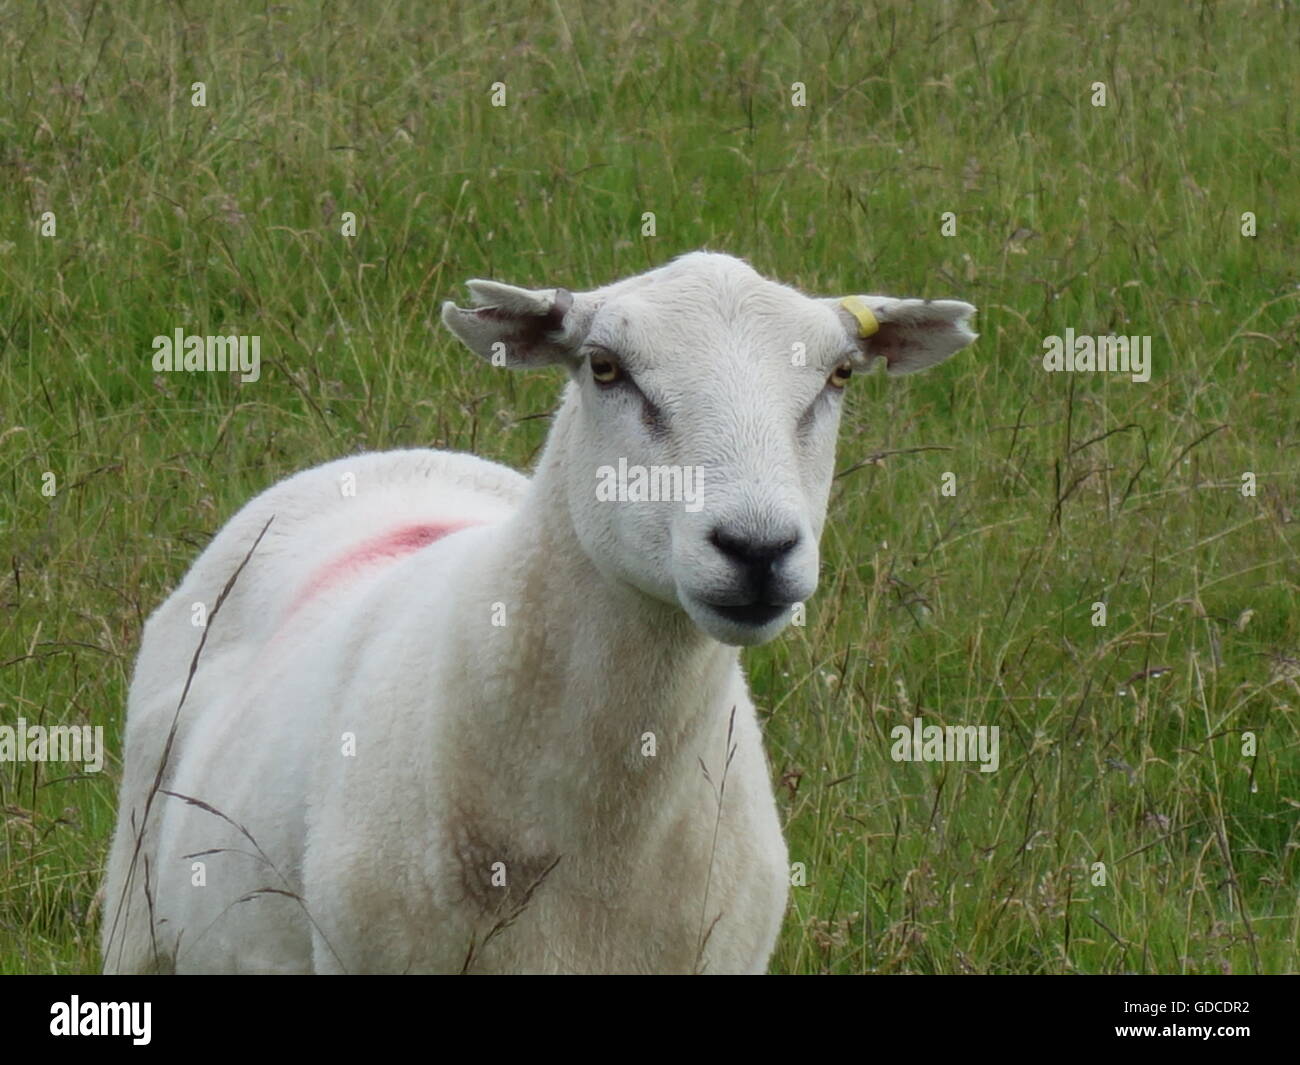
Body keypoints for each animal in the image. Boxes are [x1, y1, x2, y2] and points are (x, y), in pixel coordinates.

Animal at [104, 249, 977, 972]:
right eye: (605, 367)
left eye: (840, 376)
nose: (757, 547)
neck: (603, 832)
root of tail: (382, 461)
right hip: (134, 913)